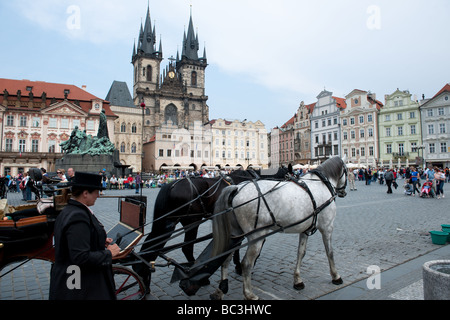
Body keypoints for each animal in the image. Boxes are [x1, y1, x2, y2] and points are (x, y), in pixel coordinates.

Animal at [133, 168, 292, 290]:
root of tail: (171, 185)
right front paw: (242, 266)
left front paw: (238, 265)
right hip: (191, 221)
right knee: (186, 248)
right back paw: (196, 276)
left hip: (168, 222)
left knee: (151, 245)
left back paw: (143, 276)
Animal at [211, 155, 348, 300]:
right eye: (346, 170)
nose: (343, 192)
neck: (321, 184)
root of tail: (237, 188)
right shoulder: (327, 227)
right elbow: (330, 252)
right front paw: (336, 276)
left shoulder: (305, 230)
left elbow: (301, 253)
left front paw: (297, 280)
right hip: (256, 237)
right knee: (246, 264)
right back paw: (249, 294)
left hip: (235, 235)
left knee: (225, 260)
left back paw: (220, 290)